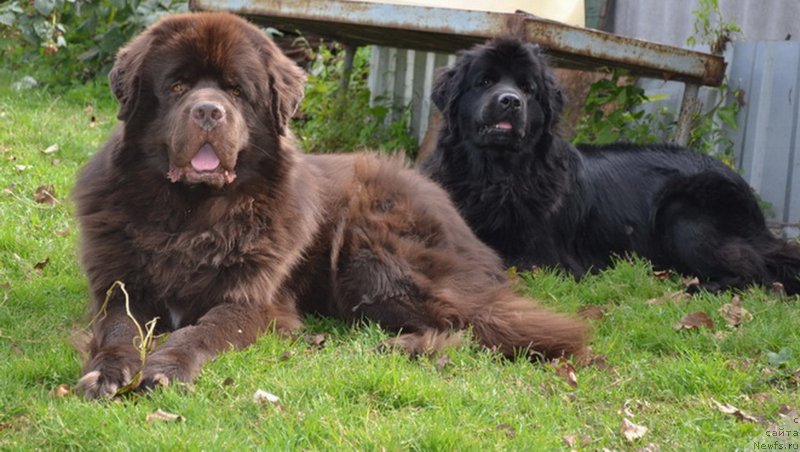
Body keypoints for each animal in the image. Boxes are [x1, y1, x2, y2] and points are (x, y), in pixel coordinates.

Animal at [75, 11, 588, 400]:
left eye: (236, 91)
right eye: (178, 87)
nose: (208, 111)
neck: (192, 214)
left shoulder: (253, 302)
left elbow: (202, 329)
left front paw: (167, 366)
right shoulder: (121, 288)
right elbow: (118, 329)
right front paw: (107, 371)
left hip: (372, 260)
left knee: (481, 322)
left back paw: (401, 348)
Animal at [418, 38, 800, 294]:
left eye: (528, 89)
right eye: (484, 82)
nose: (510, 101)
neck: (496, 177)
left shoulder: (544, 257)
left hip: (683, 213)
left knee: (757, 270)